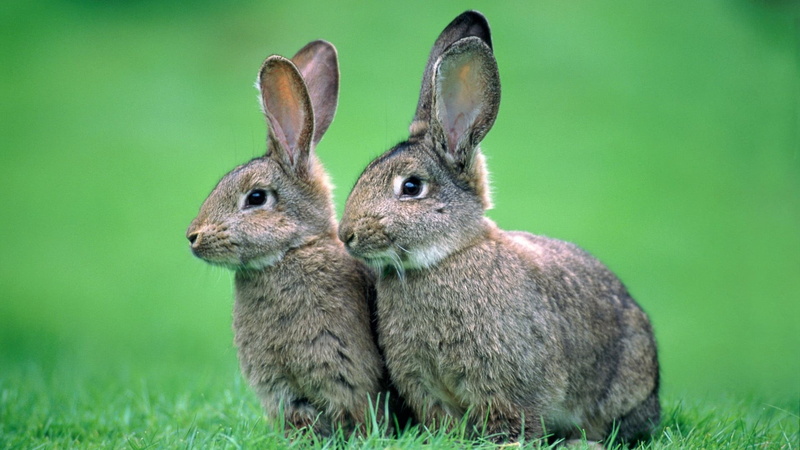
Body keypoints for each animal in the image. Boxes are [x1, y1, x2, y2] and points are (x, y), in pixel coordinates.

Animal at [338, 11, 660, 444]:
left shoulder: (506, 380)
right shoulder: (423, 383)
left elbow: (511, 417)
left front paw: (506, 443)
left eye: (411, 187)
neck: (445, 258)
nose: (347, 235)